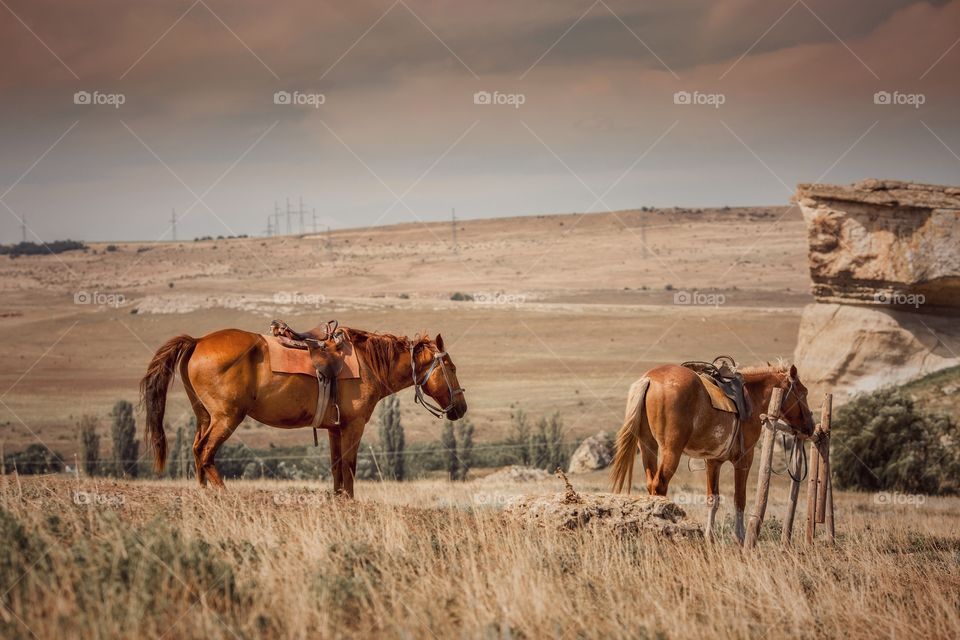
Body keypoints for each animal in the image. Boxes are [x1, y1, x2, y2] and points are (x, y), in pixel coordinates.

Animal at [140, 328, 468, 498]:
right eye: (451, 368)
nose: (461, 408)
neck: (368, 363)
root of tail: (197, 342)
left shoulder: (335, 428)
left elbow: (336, 467)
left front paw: (338, 499)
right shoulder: (353, 426)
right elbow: (349, 465)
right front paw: (350, 501)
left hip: (205, 416)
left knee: (196, 449)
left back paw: (203, 491)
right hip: (226, 418)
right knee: (205, 451)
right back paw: (223, 492)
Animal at [612, 362, 812, 544]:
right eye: (804, 392)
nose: (809, 426)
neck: (753, 398)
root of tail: (650, 379)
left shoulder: (713, 461)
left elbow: (712, 500)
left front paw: (710, 538)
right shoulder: (744, 460)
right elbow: (740, 499)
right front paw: (739, 539)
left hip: (648, 447)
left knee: (650, 483)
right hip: (671, 451)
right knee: (659, 485)